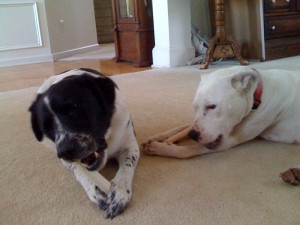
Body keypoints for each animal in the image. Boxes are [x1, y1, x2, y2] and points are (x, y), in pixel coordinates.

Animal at [28, 68, 140, 218]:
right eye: (46, 127)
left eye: (74, 107)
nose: (65, 151)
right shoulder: (68, 161)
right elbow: (81, 172)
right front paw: (96, 190)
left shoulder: (130, 146)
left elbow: (126, 166)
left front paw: (120, 192)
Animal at [142, 66, 300, 185]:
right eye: (195, 107)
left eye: (212, 106)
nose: (192, 135)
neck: (258, 93)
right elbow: (181, 128)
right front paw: (158, 137)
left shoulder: (226, 141)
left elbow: (187, 151)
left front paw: (160, 147)